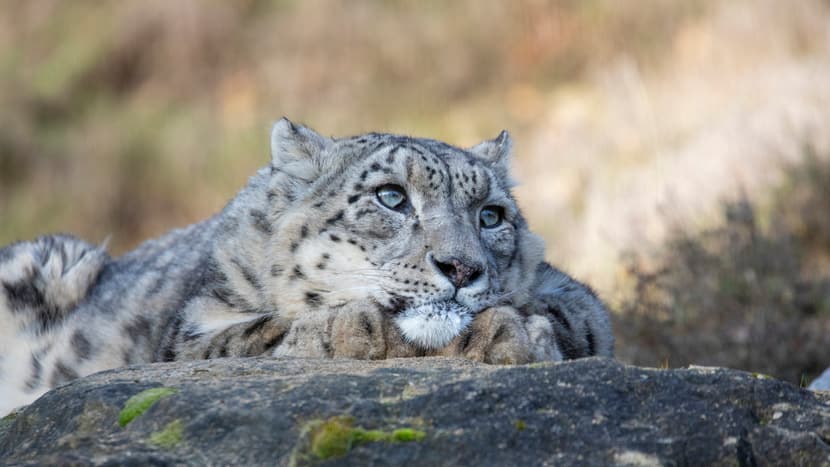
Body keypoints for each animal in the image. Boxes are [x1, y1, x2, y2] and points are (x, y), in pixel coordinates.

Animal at [0, 119, 612, 414]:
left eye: (490, 215)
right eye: (392, 197)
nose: (461, 268)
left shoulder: (579, 299)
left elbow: (573, 318)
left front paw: (511, 330)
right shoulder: (193, 328)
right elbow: (258, 333)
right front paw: (350, 327)